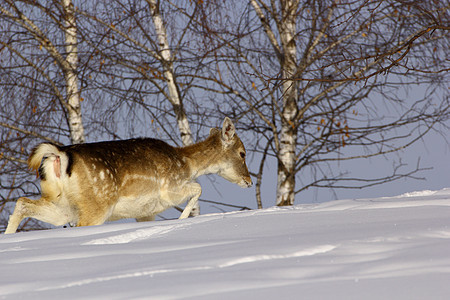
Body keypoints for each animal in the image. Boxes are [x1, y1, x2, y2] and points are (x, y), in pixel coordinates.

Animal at [3, 117, 251, 234]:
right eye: (242, 153)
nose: (249, 181)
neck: (186, 163)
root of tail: (58, 155)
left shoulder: (145, 213)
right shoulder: (168, 189)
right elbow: (199, 188)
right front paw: (182, 219)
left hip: (62, 205)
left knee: (22, 202)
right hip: (97, 205)